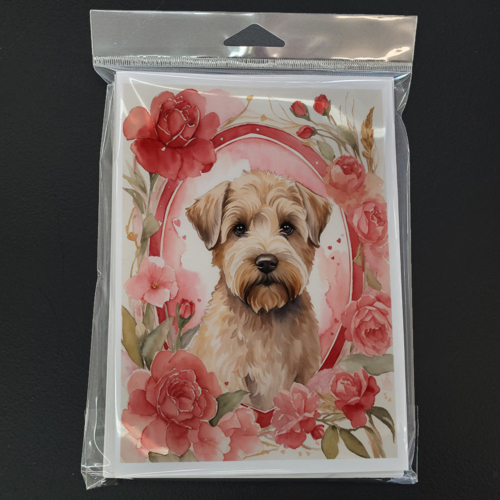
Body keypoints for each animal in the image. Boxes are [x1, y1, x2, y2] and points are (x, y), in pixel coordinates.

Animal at [186, 170, 332, 411]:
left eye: (287, 227)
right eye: (239, 228)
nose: (266, 262)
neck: (264, 314)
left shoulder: (307, 370)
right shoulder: (229, 376)